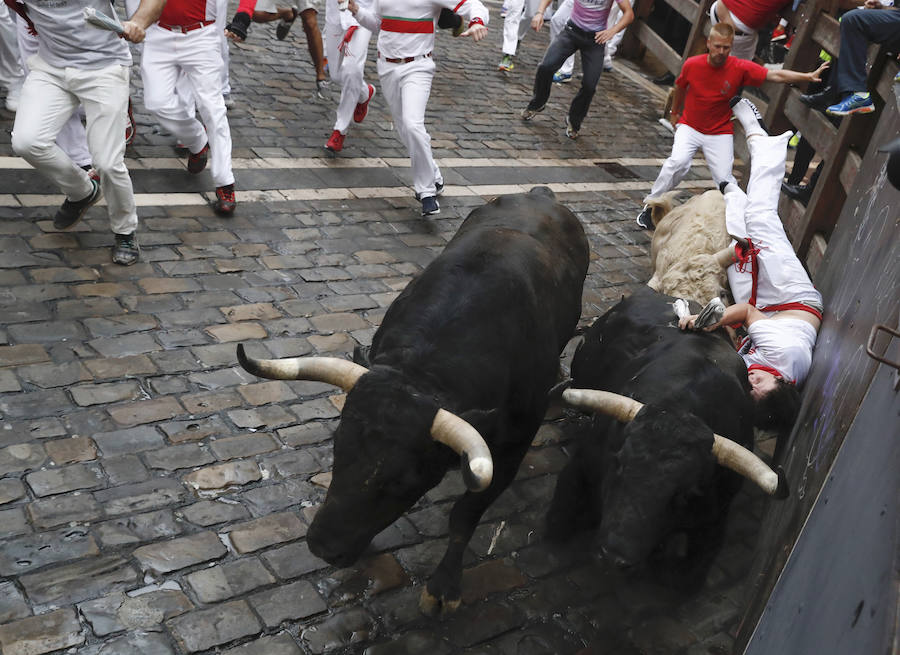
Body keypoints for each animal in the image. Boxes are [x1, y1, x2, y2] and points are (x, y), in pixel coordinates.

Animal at [237, 188, 592, 616]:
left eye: (403, 480)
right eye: (339, 448)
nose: (323, 547)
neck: (424, 372)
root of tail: (542, 194)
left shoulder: (511, 447)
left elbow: (465, 515)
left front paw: (443, 585)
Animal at [552, 290, 764, 588]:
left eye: (683, 493)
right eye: (620, 464)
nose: (614, 555)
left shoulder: (715, 518)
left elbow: (685, 579)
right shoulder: (582, 465)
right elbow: (557, 527)